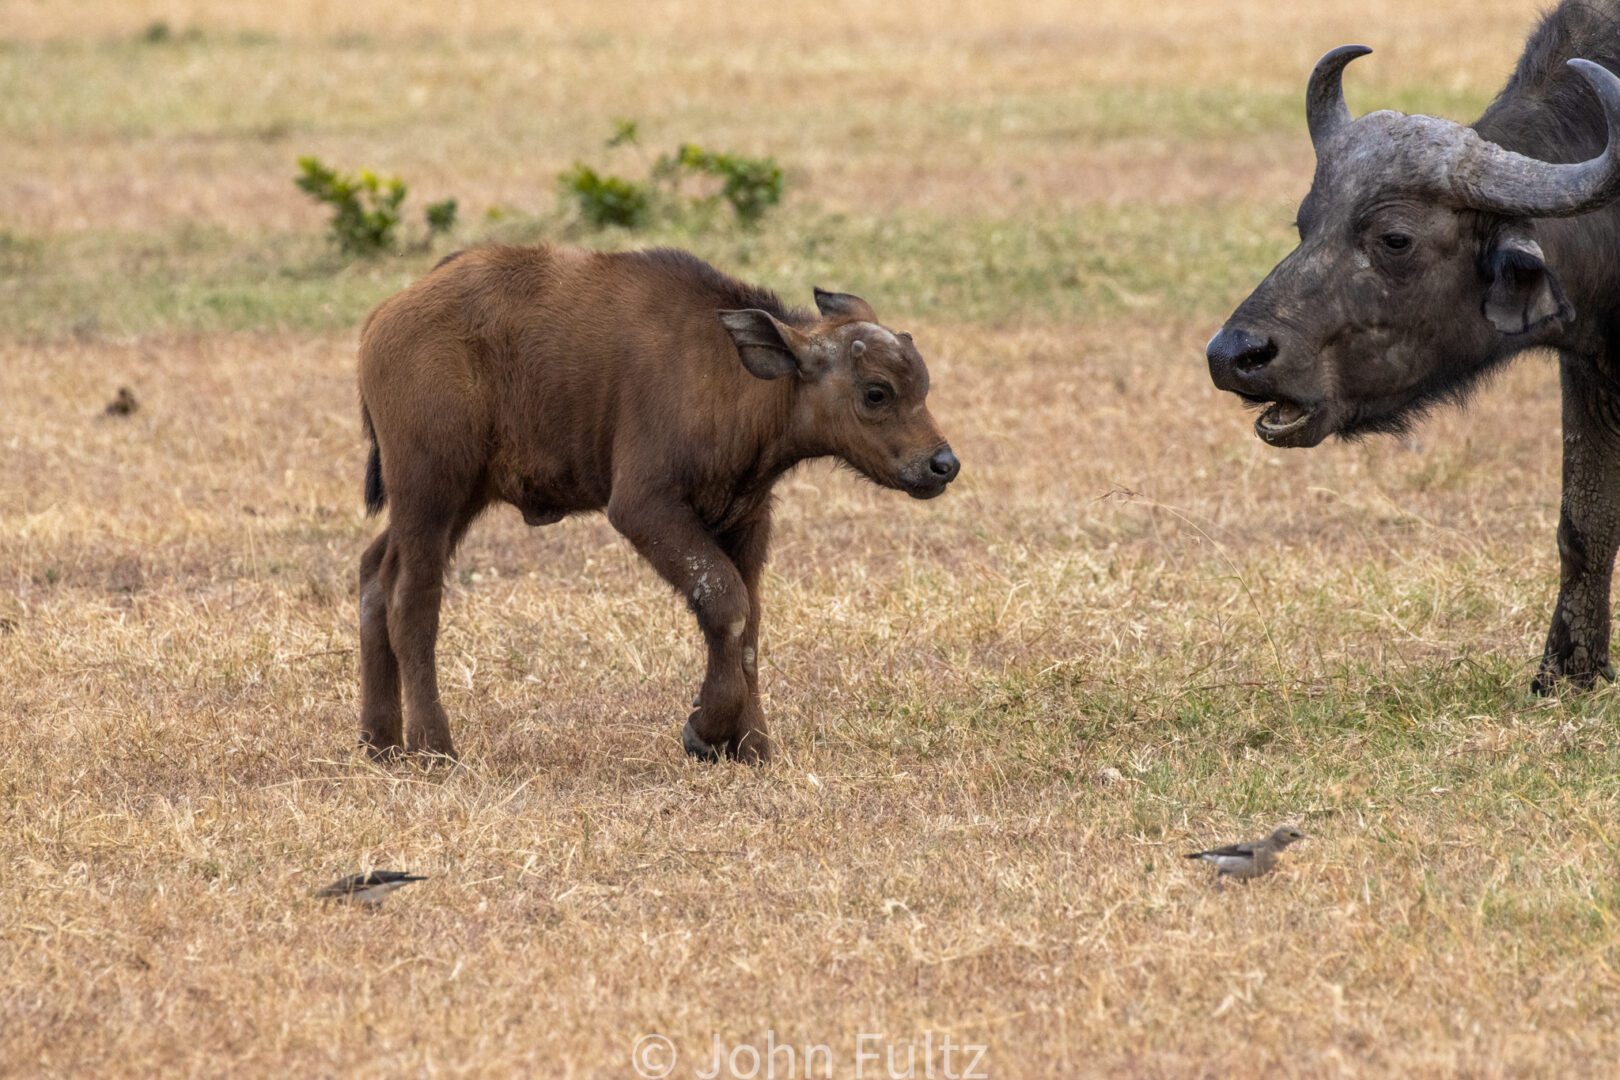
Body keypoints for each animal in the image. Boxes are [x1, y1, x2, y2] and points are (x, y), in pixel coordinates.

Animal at [354, 247, 952, 764]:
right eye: (876, 392)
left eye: (923, 384)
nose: (943, 464)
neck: (729, 376)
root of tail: (383, 316)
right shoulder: (644, 507)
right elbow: (726, 604)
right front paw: (705, 730)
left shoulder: (747, 519)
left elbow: (749, 627)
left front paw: (751, 744)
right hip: (431, 491)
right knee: (411, 600)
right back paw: (433, 748)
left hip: (457, 498)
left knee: (374, 575)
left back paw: (380, 741)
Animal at [1211, 4, 1620, 696]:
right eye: (1305, 223)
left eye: (1395, 238)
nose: (1233, 354)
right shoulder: (1592, 367)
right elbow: (1585, 525)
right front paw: (1567, 675)